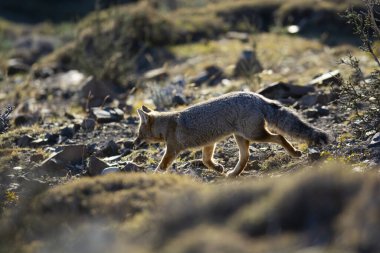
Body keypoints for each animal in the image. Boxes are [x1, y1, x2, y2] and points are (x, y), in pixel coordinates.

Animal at [134, 92, 330, 177]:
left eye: (139, 133)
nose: (134, 142)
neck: (168, 124)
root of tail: (258, 97)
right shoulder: (209, 143)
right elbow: (206, 161)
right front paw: (218, 168)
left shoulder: (172, 150)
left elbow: (162, 166)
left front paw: (154, 176)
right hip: (242, 137)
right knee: (246, 156)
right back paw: (234, 174)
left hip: (254, 135)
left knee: (279, 137)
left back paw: (294, 153)